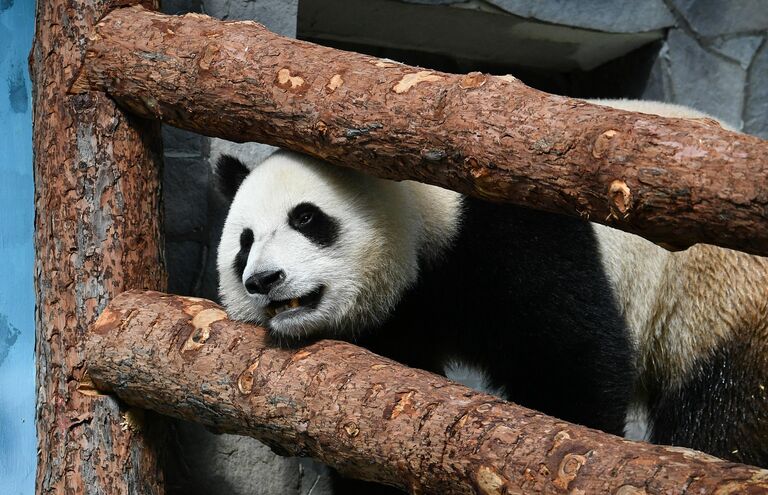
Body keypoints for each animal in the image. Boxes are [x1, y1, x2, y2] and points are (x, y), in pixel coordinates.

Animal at [216, 100, 768, 472]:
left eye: (306, 218)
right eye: (244, 242)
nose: (263, 280)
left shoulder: (511, 236)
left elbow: (573, 353)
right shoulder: (401, 316)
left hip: (720, 303)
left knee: (727, 411)